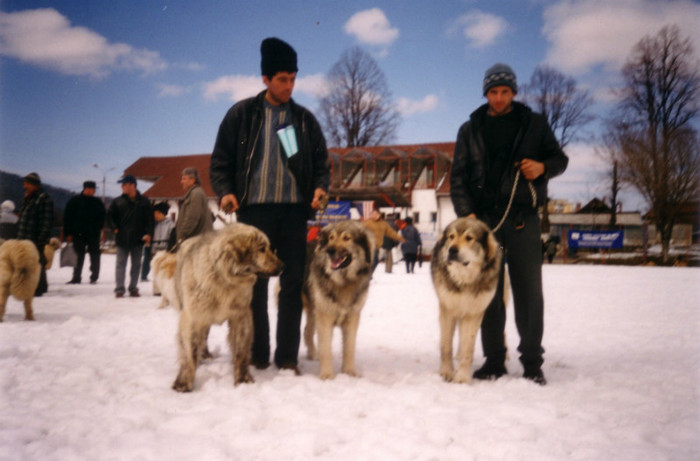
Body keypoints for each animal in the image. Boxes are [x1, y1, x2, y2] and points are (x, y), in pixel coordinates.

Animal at [172, 223, 282, 392]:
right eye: (262, 249)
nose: (283, 266)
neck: (224, 280)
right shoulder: (194, 317)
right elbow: (189, 351)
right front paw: (184, 382)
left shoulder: (241, 316)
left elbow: (241, 351)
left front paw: (243, 380)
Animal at [304, 221, 374, 380]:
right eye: (331, 238)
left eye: (346, 238)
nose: (330, 250)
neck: (343, 282)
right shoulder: (324, 316)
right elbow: (326, 348)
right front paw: (327, 375)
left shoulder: (352, 317)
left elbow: (349, 347)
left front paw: (349, 372)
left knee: (307, 330)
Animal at [432, 217, 504, 382]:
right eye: (451, 237)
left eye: (469, 238)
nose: (452, 250)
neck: (464, 280)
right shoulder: (448, 310)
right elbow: (446, 345)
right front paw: (446, 372)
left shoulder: (473, 314)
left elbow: (468, 348)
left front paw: (462, 377)